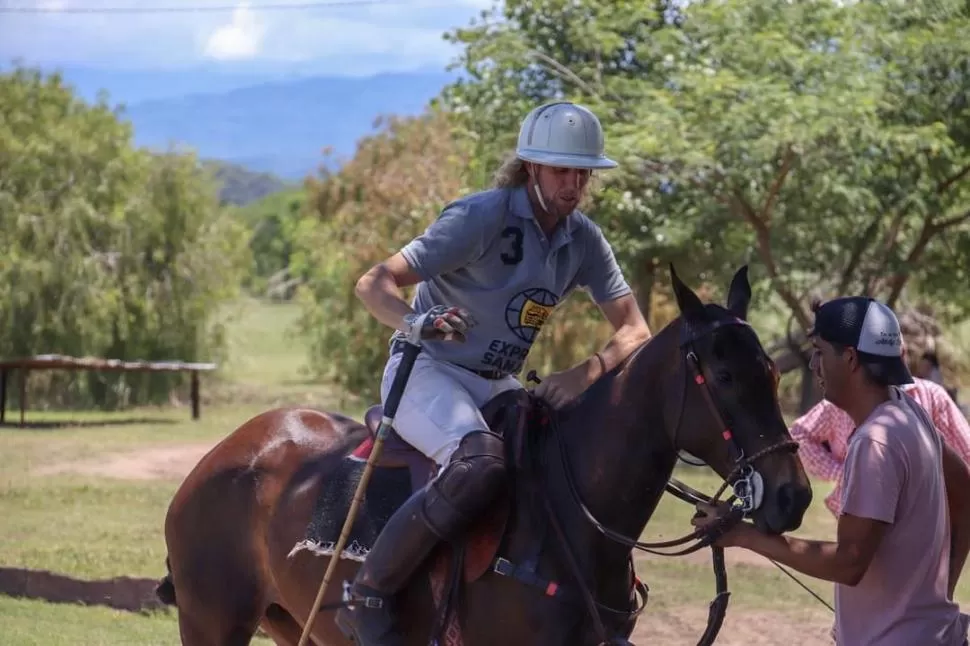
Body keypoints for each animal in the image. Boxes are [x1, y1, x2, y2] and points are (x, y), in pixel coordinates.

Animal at [157, 264, 808, 646]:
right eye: (723, 376)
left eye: (775, 373)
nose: (793, 495)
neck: (574, 516)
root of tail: (219, 456)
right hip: (211, 620)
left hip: (293, 624)